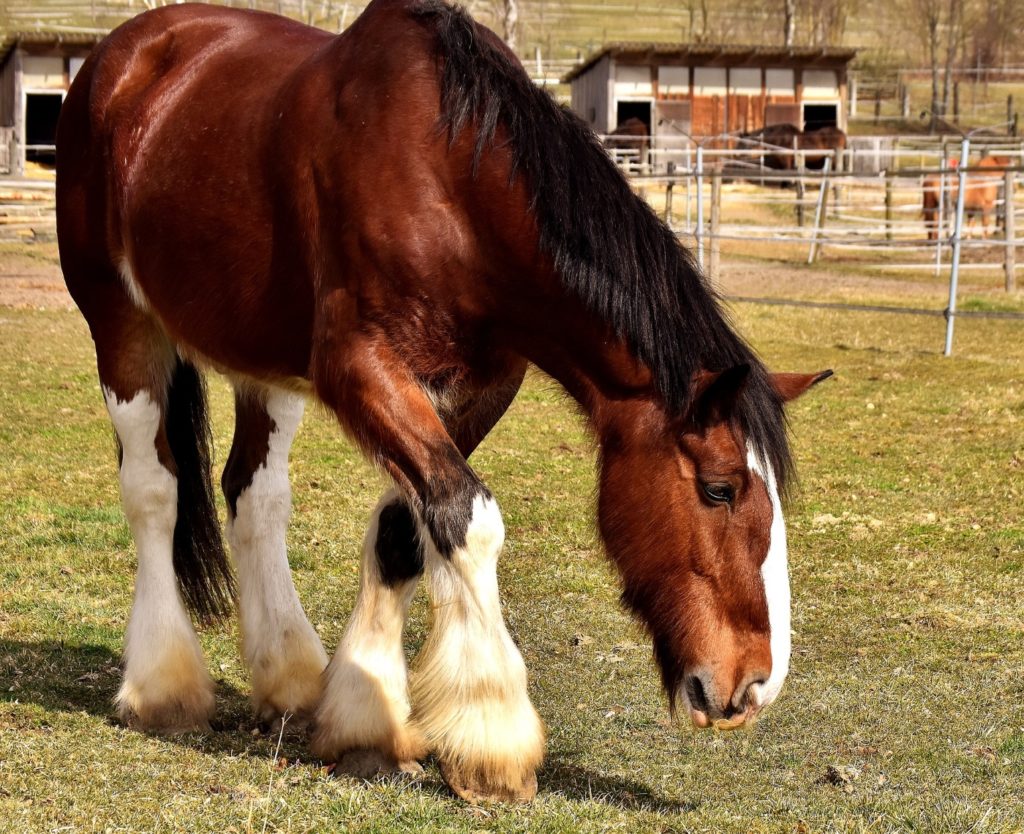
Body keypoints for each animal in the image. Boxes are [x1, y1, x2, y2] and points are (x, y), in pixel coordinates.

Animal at [54, 0, 831, 803]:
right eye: (720, 488)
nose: (754, 685)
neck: (453, 181)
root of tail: (129, 53)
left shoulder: (477, 387)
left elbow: (407, 529)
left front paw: (365, 721)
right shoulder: (362, 370)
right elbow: (468, 517)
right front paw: (494, 736)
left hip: (262, 360)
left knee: (254, 496)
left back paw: (290, 678)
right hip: (121, 325)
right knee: (155, 491)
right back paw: (161, 685)